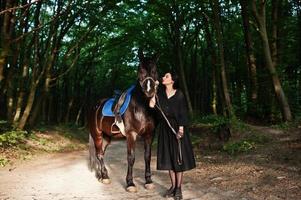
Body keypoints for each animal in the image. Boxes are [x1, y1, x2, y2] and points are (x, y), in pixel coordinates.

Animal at [87, 49, 159, 192]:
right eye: (140, 70)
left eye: (154, 70)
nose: (149, 90)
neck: (142, 107)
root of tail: (95, 106)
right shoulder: (131, 134)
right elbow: (131, 157)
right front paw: (130, 183)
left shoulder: (149, 134)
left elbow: (147, 157)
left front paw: (148, 181)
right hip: (97, 135)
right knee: (99, 154)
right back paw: (105, 177)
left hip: (107, 137)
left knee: (101, 153)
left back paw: (101, 175)